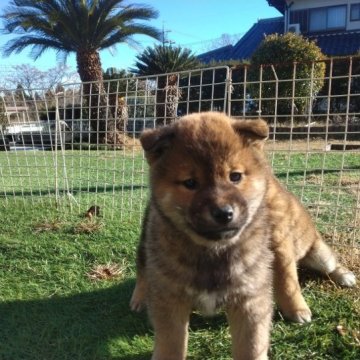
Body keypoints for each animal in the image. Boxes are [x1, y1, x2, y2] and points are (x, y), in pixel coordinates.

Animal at [131, 111, 272, 358]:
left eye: (235, 176)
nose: (224, 213)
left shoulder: (250, 300)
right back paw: (139, 298)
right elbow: (171, 346)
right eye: (190, 183)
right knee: (142, 270)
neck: (212, 251)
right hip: (145, 244)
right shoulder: (170, 300)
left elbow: (251, 347)